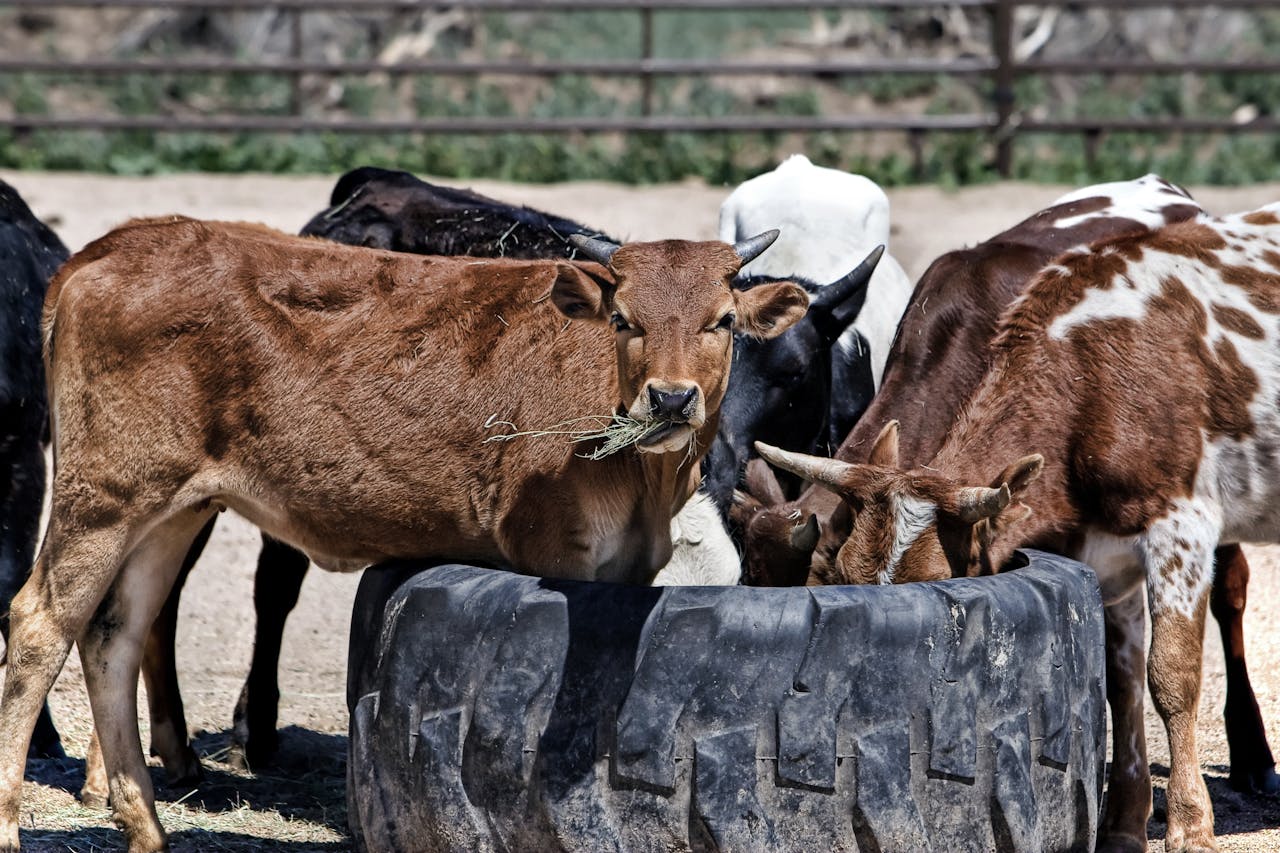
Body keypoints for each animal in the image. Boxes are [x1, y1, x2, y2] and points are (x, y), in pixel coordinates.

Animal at [0, 217, 806, 852]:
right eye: (623, 320)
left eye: (722, 320)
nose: (669, 398)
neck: (645, 479)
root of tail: (115, 246)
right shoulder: (556, 552)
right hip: (105, 496)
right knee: (40, 623)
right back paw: (13, 823)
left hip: (173, 508)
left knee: (117, 634)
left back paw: (146, 827)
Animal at [752, 204, 1280, 853]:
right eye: (843, 575)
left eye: (939, 580)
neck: (1090, 376)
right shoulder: (1107, 557)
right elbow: (1122, 684)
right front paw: (1123, 824)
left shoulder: (1180, 527)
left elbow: (1171, 677)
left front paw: (1188, 824)